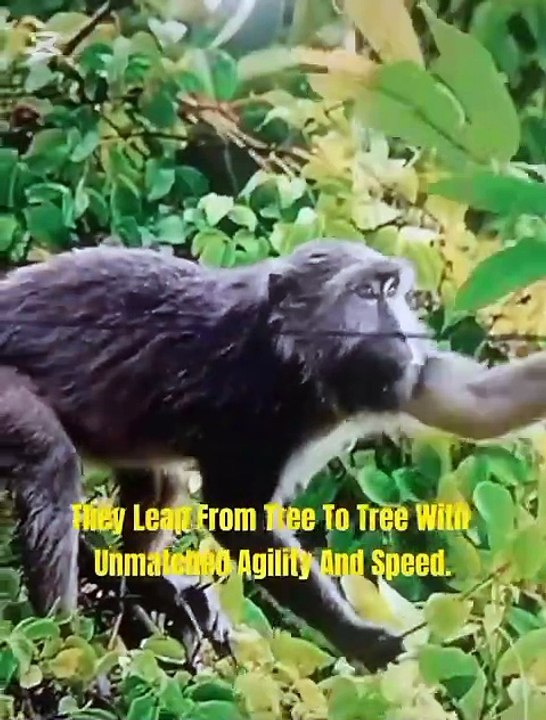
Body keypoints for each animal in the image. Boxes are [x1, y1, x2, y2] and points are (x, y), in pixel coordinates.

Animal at [2, 238, 546, 671]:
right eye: (365, 293)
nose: (402, 332)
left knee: (160, 477)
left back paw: (145, 579)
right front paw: (357, 637)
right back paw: (64, 648)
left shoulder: (398, 375)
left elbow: (478, 404)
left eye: (392, 291)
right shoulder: (253, 399)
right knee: (53, 463)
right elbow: (238, 518)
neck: (302, 362)